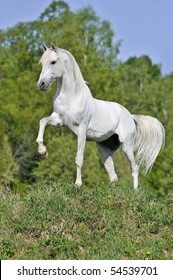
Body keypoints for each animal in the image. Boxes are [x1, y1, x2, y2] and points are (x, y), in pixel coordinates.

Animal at [36, 43, 165, 190]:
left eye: (53, 62)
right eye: (41, 63)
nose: (41, 84)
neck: (71, 97)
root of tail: (131, 116)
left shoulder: (81, 130)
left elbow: (79, 158)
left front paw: (78, 184)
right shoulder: (59, 120)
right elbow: (43, 121)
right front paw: (42, 152)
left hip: (127, 145)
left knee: (135, 167)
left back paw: (135, 191)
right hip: (105, 150)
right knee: (113, 175)